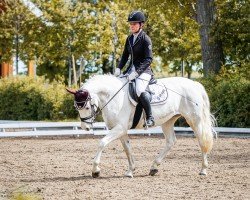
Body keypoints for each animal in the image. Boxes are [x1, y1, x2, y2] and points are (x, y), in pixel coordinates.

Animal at [66, 74, 215, 177]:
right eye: (76, 107)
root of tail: (194, 84)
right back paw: (154, 167)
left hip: (194, 120)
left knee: (202, 141)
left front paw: (95, 170)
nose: (85, 128)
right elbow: (127, 148)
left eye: (86, 106)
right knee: (171, 141)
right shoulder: (121, 130)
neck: (113, 96)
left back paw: (203, 170)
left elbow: (102, 143)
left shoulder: (119, 128)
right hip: (168, 121)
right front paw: (130, 171)